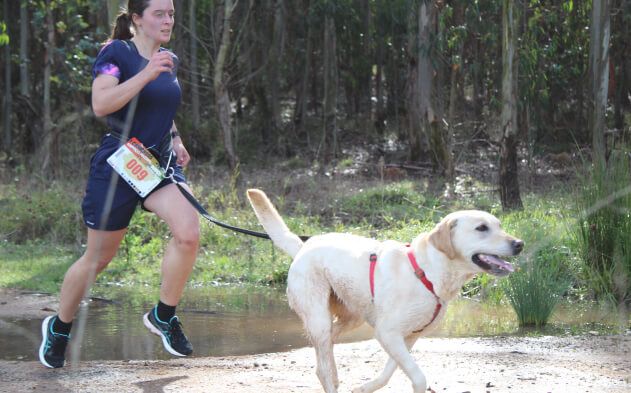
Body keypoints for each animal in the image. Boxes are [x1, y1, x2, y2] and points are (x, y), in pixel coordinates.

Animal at [247, 188, 524, 390]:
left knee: (325, 353)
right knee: (324, 366)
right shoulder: (388, 333)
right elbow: (418, 377)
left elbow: (390, 372)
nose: (519, 243)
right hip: (318, 317)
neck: (429, 273)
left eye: (499, 225)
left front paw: (365, 388)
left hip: (351, 318)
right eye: (481, 228)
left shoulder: (407, 337)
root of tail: (304, 246)